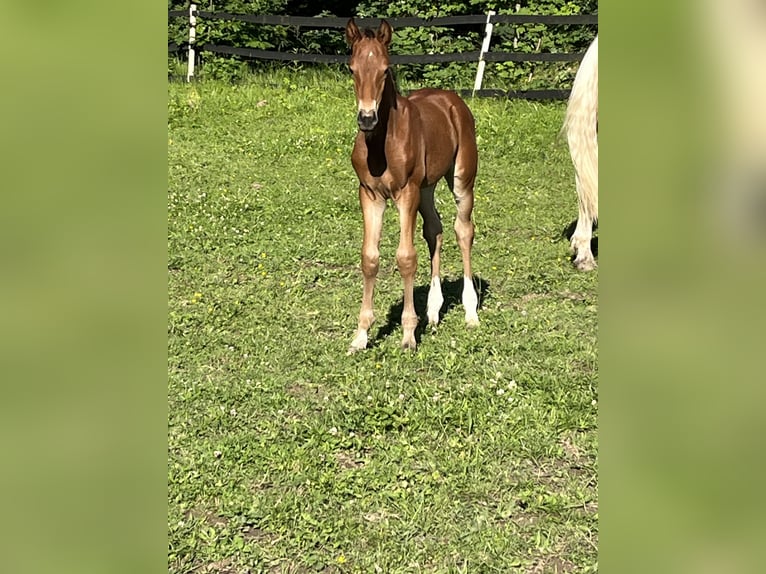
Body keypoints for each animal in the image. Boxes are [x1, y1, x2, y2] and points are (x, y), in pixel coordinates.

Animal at [346, 19, 480, 356]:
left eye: (384, 69)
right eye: (352, 69)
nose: (367, 119)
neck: (382, 143)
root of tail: (452, 100)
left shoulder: (406, 193)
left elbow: (406, 257)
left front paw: (408, 334)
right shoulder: (370, 195)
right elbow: (369, 258)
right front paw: (361, 335)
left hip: (461, 180)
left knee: (463, 230)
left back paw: (470, 312)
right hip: (426, 188)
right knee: (435, 230)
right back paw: (433, 312)